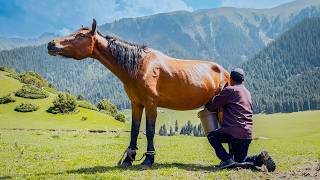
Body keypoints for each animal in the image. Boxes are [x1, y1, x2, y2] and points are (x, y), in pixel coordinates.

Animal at [47, 18, 230, 167]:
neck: (140, 65)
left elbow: (149, 131)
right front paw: (129, 159)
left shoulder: (150, 104)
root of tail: (225, 72)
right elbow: (134, 130)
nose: (51, 44)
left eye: (80, 35)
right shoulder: (136, 104)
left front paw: (148, 159)